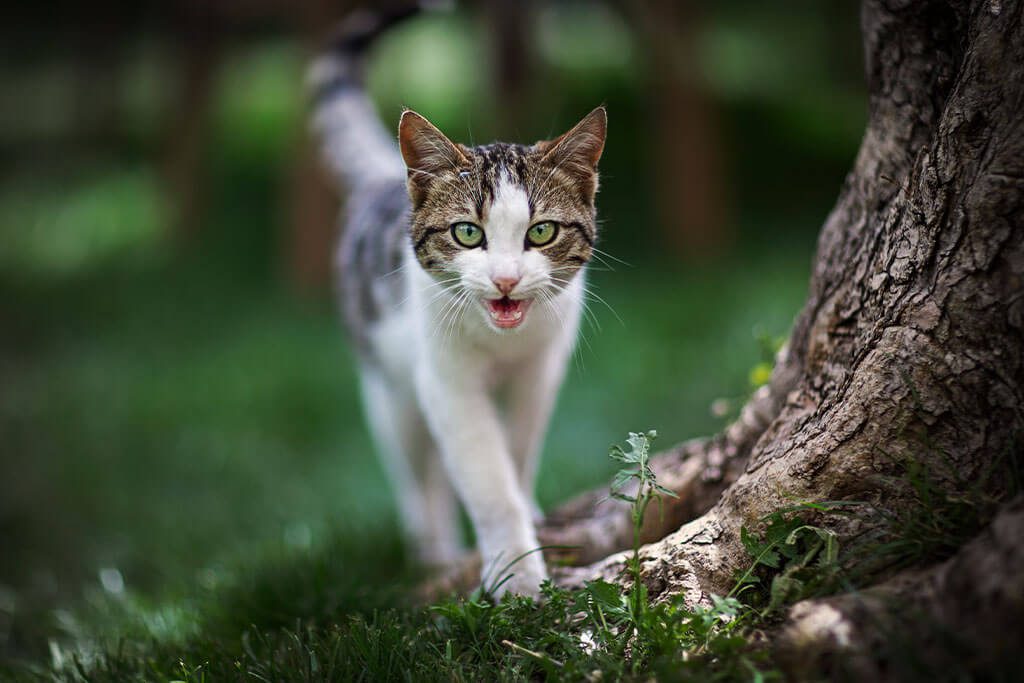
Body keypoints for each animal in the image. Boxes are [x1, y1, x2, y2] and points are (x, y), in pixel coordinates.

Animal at [307, 10, 602, 598]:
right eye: (467, 232)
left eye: (542, 231)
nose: (506, 279)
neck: (502, 341)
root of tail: (384, 176)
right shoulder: (446, 380)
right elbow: (484, 473)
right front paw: (515, 574)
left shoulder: (542, 368)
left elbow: (518, 450)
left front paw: (528, 512)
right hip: (388, 385)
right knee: (415, 471)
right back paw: (433, 552)